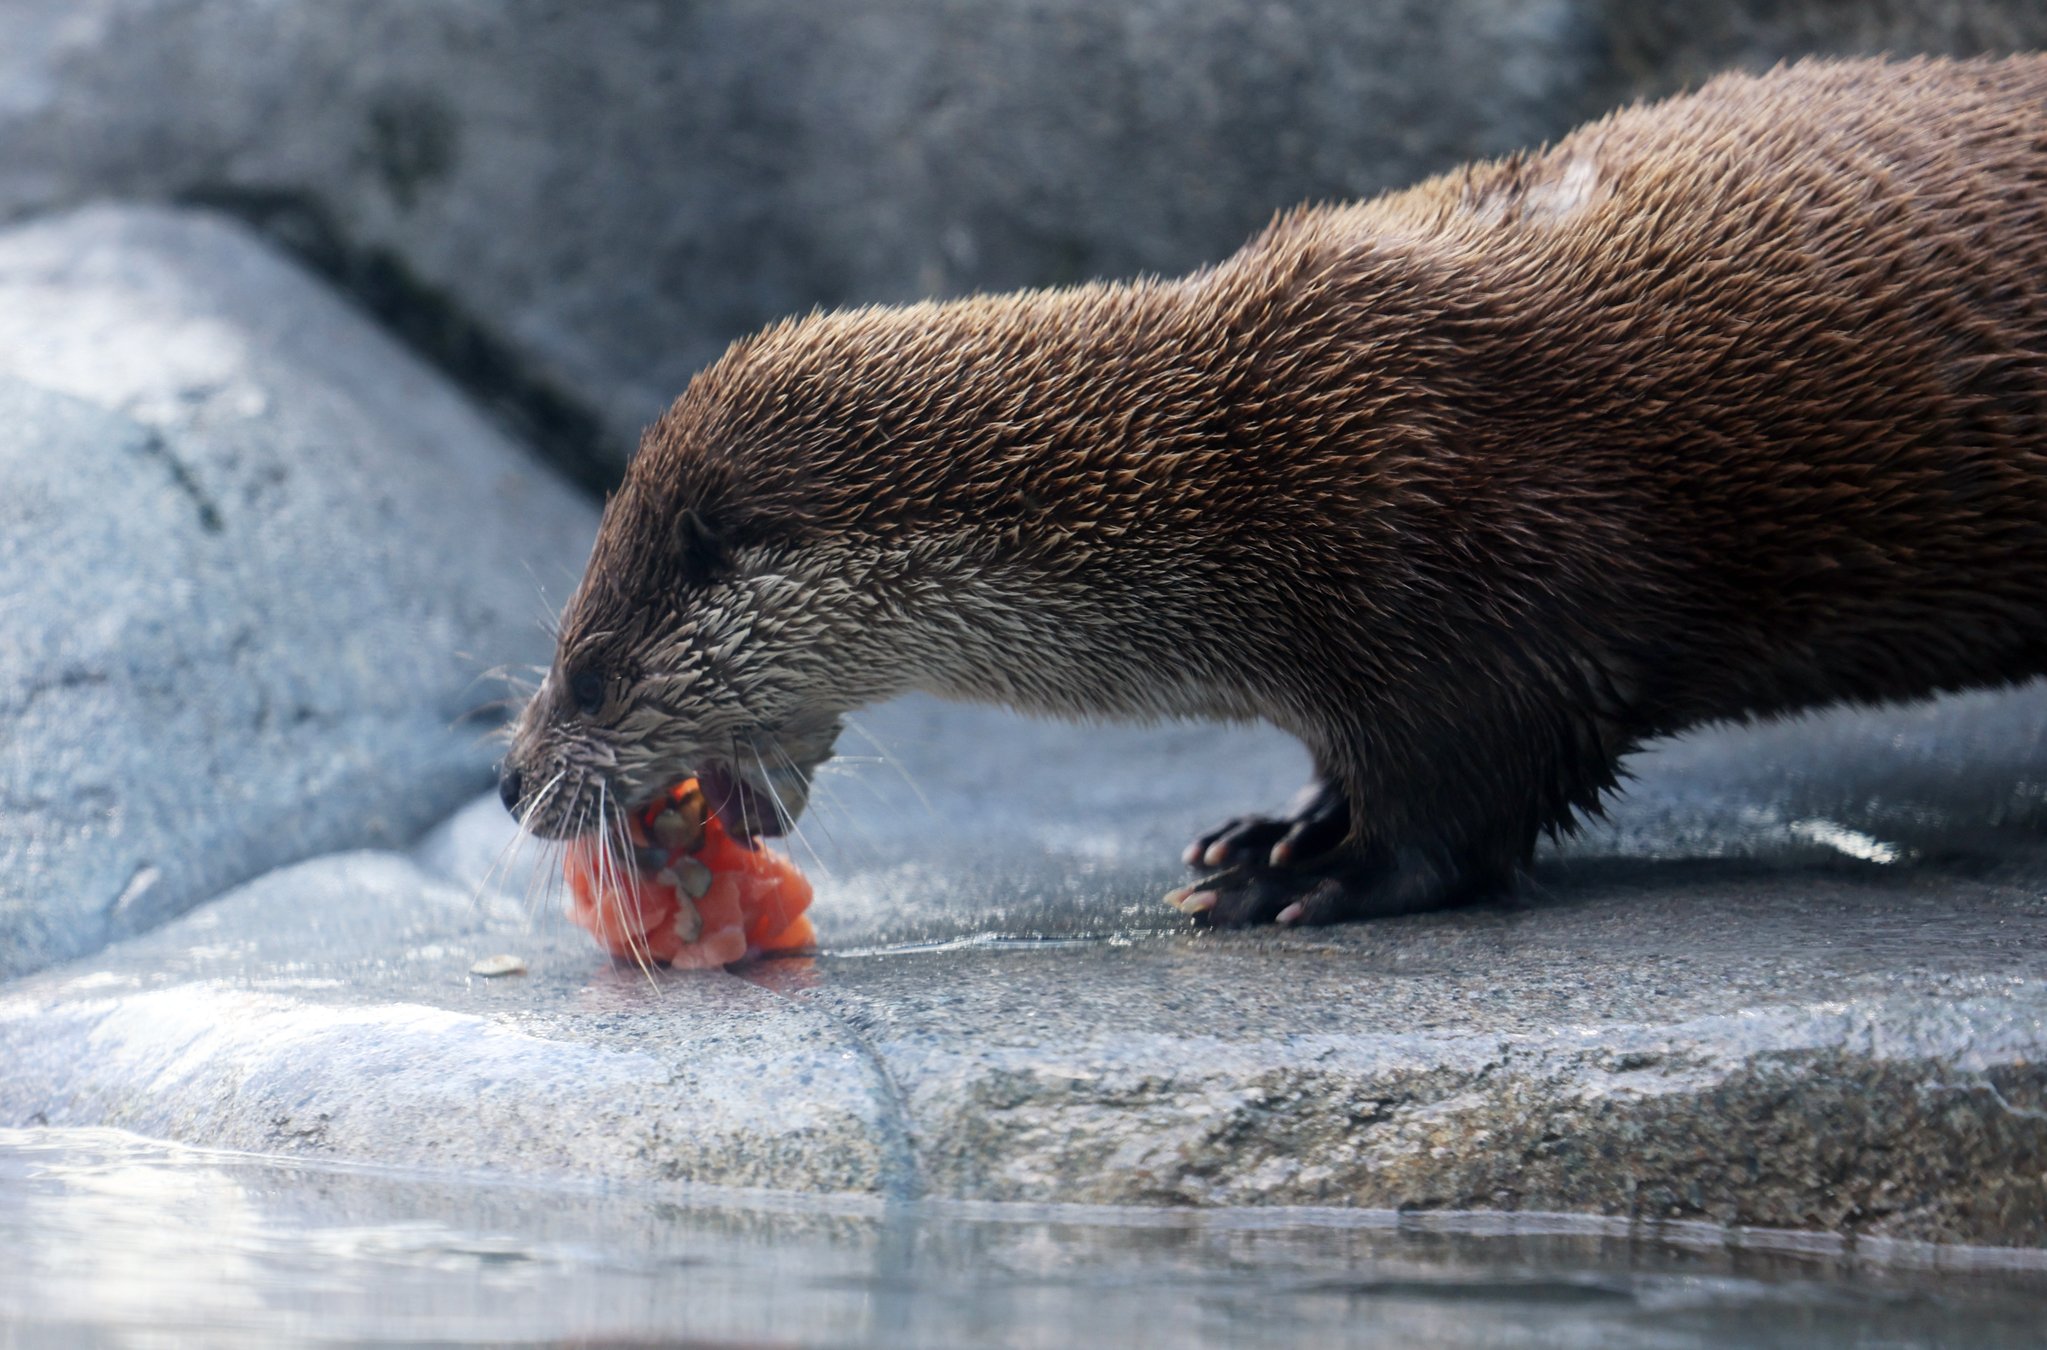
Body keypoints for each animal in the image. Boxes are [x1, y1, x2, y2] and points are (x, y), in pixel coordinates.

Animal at [499, 60, 2046, 928]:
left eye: (587, 671)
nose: (511, 775)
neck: (1228, 483)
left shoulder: (1474, 587)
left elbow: (1470, 807)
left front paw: (1307, 881)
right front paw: (1275, 827)